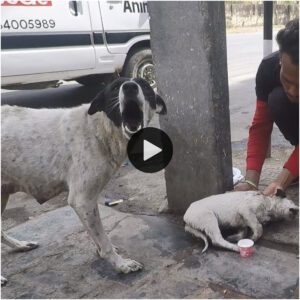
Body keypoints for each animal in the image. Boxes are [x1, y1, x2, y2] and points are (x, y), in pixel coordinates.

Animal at [1, 77, 168, 284]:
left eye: (144, 85)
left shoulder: (85, 204)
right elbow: (103, 239)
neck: (100, 129)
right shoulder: (82, 199)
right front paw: (121, 264)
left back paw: (21, 245)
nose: (129, 87)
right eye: (115, 87)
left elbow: (94, 233)